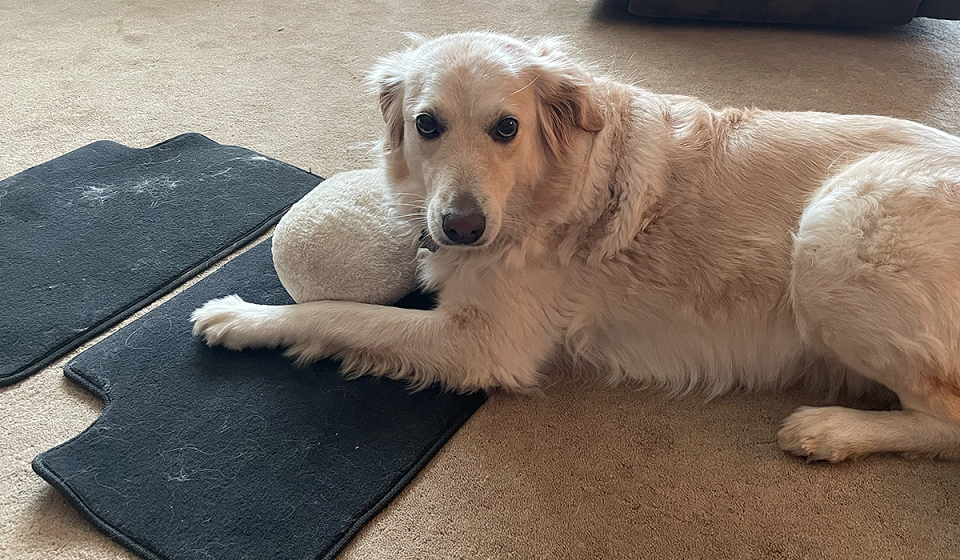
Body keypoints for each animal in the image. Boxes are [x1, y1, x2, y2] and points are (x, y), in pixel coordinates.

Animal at [191, 30, 960, 462]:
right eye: (427, 125)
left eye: (506, 128)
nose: (460, 228)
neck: (540, 195)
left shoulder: (484, 343)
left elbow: (339, 316)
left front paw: (242, 316)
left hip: (832, 235)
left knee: (947, 418)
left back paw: (831, 431)